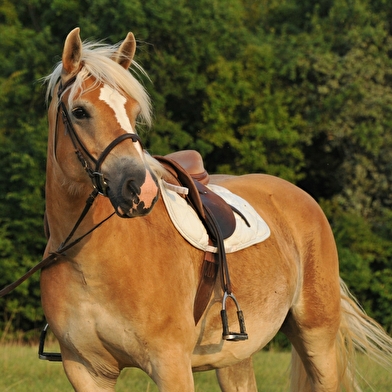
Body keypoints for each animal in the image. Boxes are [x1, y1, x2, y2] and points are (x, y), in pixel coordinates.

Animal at [42, 26, 392, 390]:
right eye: (80, 112)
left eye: (134, 112)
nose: (140, 189)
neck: (90, 260)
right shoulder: (86, 370)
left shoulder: (171, 364)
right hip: (236, 356)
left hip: (317, 340)